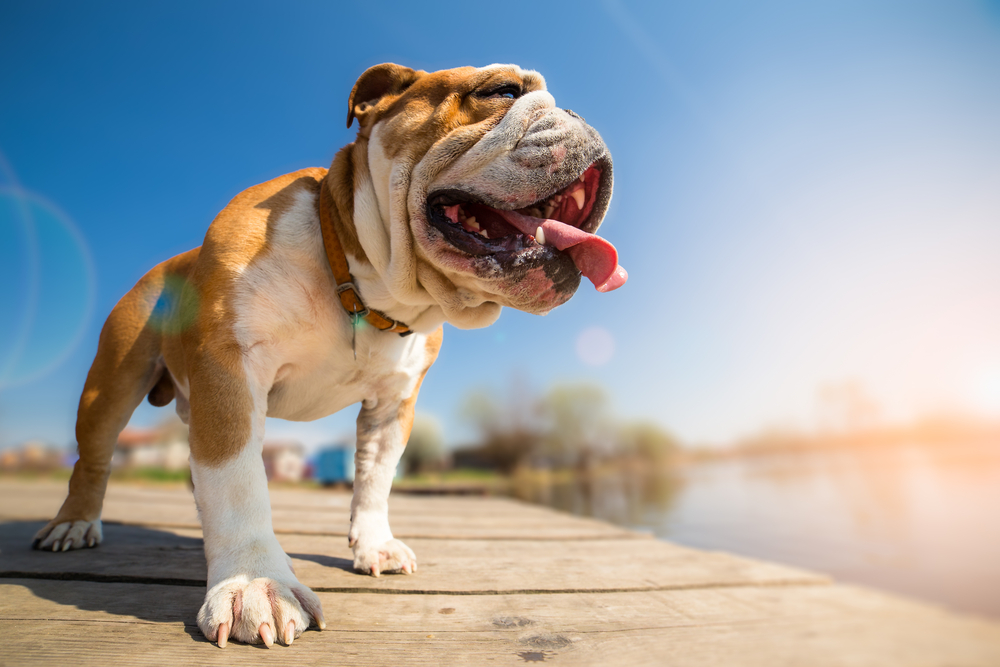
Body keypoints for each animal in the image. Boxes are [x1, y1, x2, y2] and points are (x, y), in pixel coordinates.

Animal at [33, 62, 624, 648]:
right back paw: (74, 523)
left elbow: (375, 478)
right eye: (501, 91)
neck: (363, 282)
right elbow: (239, 480)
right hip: (111, 384)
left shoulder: (393, 405)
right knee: (94, 458)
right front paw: (255, 582)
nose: (580, 115)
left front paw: (374, 544)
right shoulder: (230, 370)